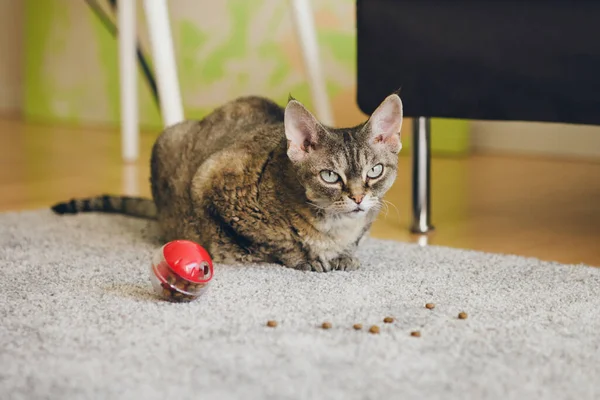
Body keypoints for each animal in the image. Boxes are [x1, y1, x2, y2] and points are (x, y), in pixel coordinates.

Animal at [54, 94, 404, 272]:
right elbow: (273, 242)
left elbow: (355, 240)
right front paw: (303, 257)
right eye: (330, 176)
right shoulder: (209, 180)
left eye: (375, 171)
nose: (358, 198)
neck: (334, 226)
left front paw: (345, 255)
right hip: (169, 141)